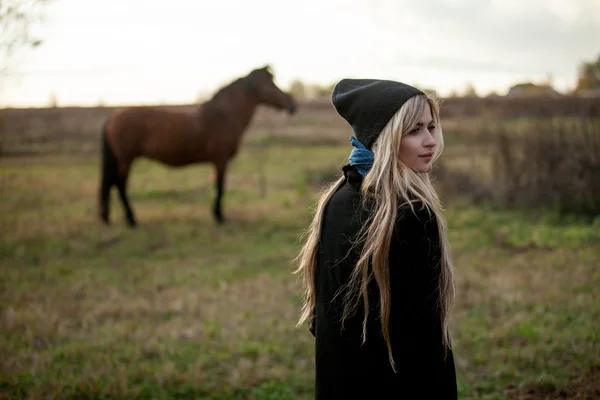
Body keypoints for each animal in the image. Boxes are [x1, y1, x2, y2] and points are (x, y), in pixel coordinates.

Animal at [98, 66, 298, 228]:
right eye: (270, 83)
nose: (292, 105)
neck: (224, 116)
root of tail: (113, 116)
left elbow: (217, 187)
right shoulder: (220, 160)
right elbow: (220, 187)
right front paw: (219, 216)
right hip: (126, 159)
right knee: (120, 185)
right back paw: (132, 220)